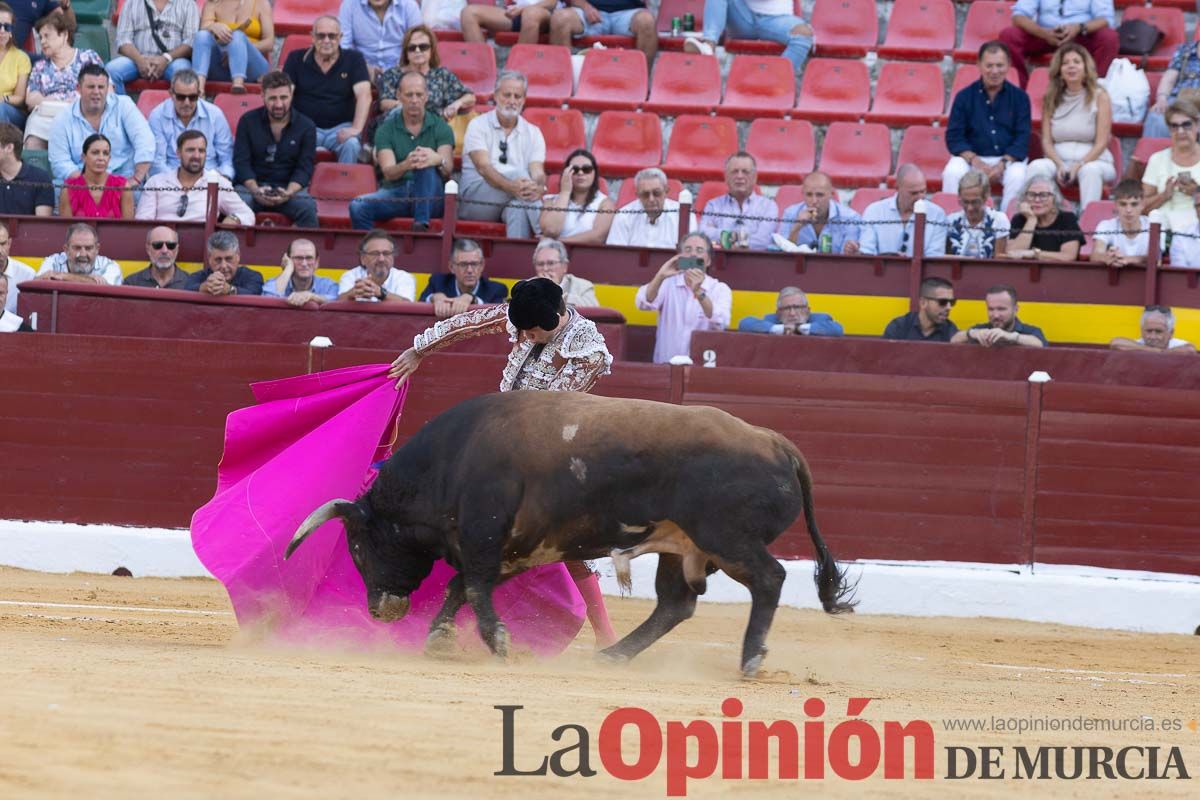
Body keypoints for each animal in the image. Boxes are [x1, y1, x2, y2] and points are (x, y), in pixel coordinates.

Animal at [286, 393, 859, 676]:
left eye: (358, 546)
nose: (380, 610)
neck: (453, 460)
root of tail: (775, 441)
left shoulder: (484, 535)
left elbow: (471, 587)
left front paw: (498, 642)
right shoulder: (513, 547)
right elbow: (461, 588)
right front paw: (441, 640)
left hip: (727, 538)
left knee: (769, 579)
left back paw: (751, 659)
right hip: (683, 548)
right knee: (676, 604)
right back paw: (612, 656)